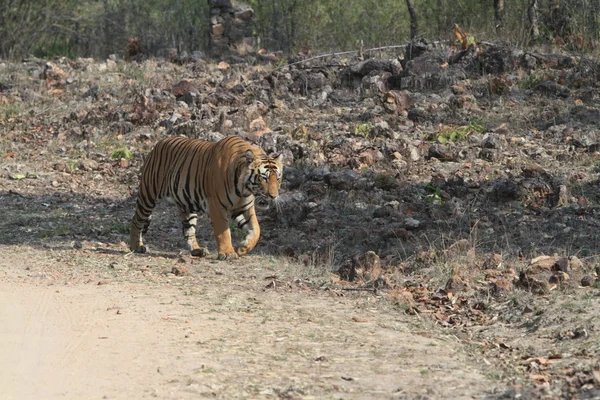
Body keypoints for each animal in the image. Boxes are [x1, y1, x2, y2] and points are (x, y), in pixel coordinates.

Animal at [129, 135, 284, 260]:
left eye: (278, 178)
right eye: (264, 178)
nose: (273, 196)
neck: (244, 189)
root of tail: (159, 143)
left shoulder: (244, 208)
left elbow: (256, 230)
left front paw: (242, 248)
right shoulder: (216, 206)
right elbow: (223, 232)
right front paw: (228, 253)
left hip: (187, 204)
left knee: (188, 229)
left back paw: (197, 250)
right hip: (148, 195)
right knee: (136, 220)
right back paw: (136, 246)